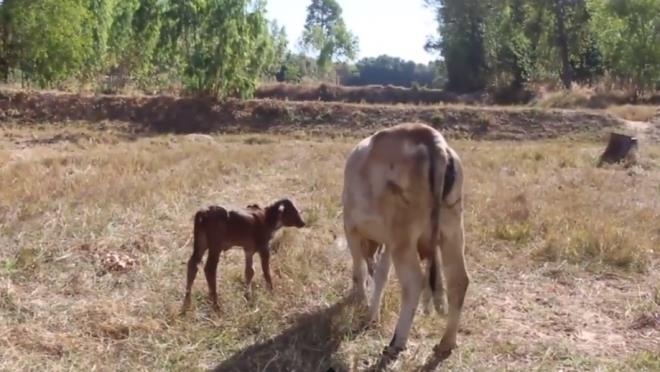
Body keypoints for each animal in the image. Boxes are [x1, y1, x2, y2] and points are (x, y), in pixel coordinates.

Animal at [340, 121, 470, 354]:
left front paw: (360, 304)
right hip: (452, 230)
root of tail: (432, 139)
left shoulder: (351, 228)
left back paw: (397, 341)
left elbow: (359, 271)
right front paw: (371, 315)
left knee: (414, 282)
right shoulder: (388, 242)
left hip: (405, 240)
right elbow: (380, 276)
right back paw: (446, 342)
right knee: (459, 280)